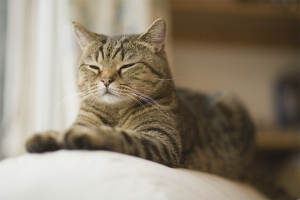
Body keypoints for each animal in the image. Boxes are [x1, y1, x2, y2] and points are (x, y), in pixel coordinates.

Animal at [25, 18, 290, 199]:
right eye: (94, 67)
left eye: (127, 66)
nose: (106, 79)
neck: (116, 112)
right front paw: (45, 137)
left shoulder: (161, 141)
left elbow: (120, 136)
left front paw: (84, 135)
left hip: (229, 102)